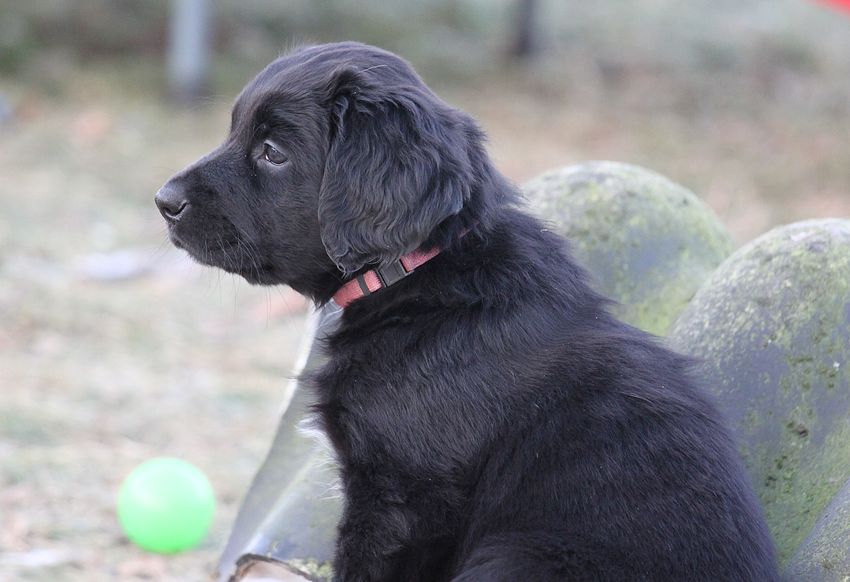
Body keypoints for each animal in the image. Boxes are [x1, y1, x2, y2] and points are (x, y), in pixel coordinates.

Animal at [156, 42, 778, 581]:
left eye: (273, 153)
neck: (421, 273)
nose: (163, 202)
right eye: (235, 130)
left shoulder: (402, 501)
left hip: (515, 555)